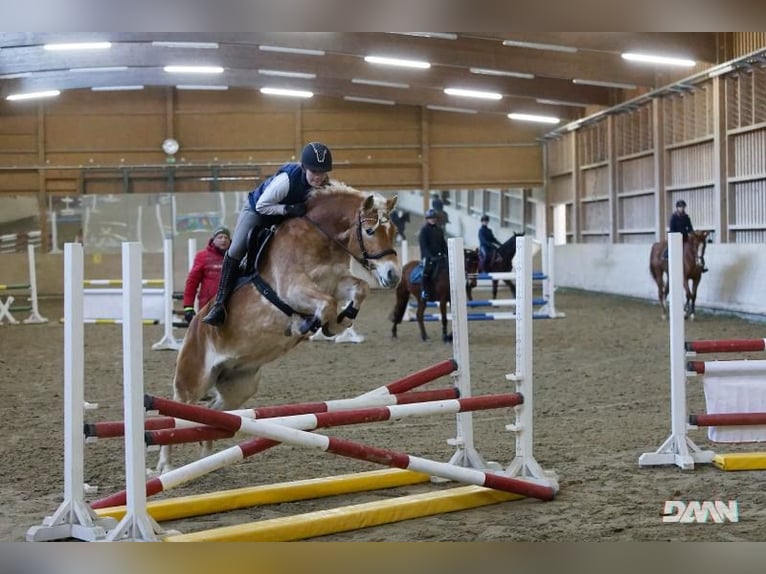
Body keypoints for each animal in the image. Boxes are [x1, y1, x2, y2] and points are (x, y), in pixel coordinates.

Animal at [159, 186, 404, 476]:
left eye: (394, 231)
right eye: (369, 231)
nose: (393, 275)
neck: (320, 238)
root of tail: (194, 327)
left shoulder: (336, 281)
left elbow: (359, 290)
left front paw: (338, 324)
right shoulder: (293, 287)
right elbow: (326, 304)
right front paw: (308, 324)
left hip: (239, 385)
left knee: (214, 413)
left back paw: (205, 454)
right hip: (193, 379)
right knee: (176, 413)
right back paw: (164, 466)